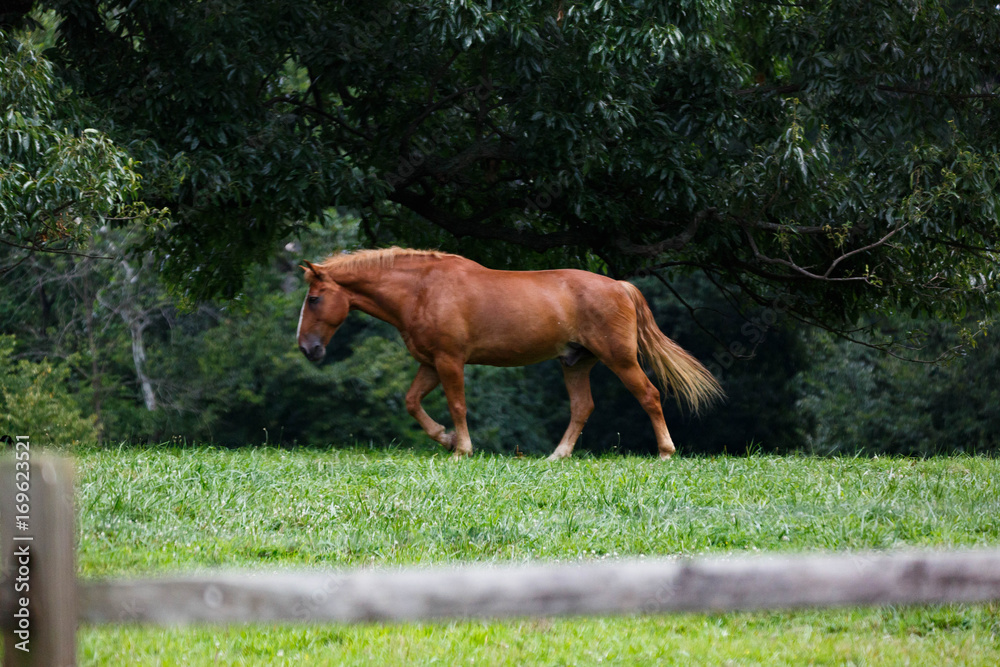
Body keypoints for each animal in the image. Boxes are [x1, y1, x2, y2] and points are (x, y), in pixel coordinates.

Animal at [296, 247, 723, 460]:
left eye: (315, 299)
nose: (307, 348)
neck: (423, 289)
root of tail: (620, 285)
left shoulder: (450, 361)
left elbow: (457, 405)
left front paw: (461, 449)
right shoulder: (430, 363)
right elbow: (412, 402)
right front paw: (445, 439)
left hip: (619, 359)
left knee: (649, 396)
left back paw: (666, 452)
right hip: (575, 362)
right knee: (582, 407)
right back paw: (557, 456)